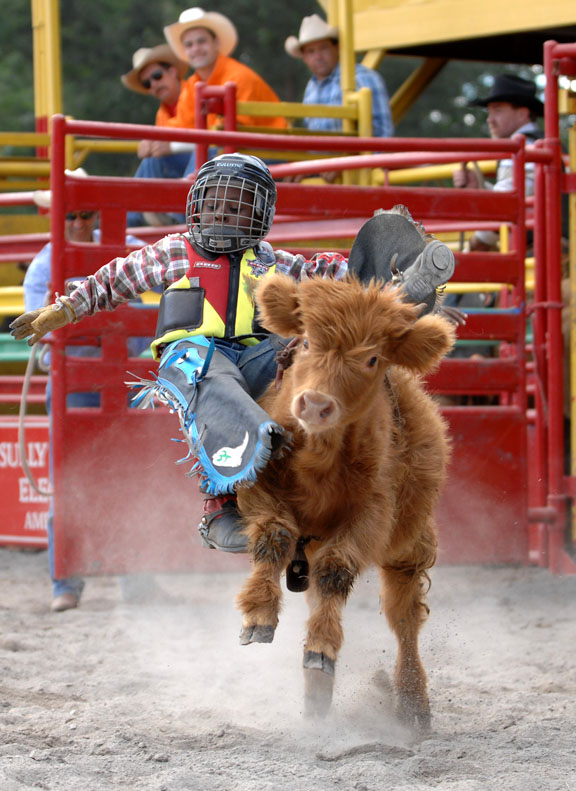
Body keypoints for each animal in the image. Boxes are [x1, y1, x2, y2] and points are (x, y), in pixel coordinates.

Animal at [235, 274, 454, 732]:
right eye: (305, 342)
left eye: (372, 359)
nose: (316, 404)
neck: (319, 458)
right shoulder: (256, 486)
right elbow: (274, 538)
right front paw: (259, 613)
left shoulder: (373, 515)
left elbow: (338, 571)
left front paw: (321, 647)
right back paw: (316, 704)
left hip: (410, 542)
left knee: (404, 615)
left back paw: (412, 703)